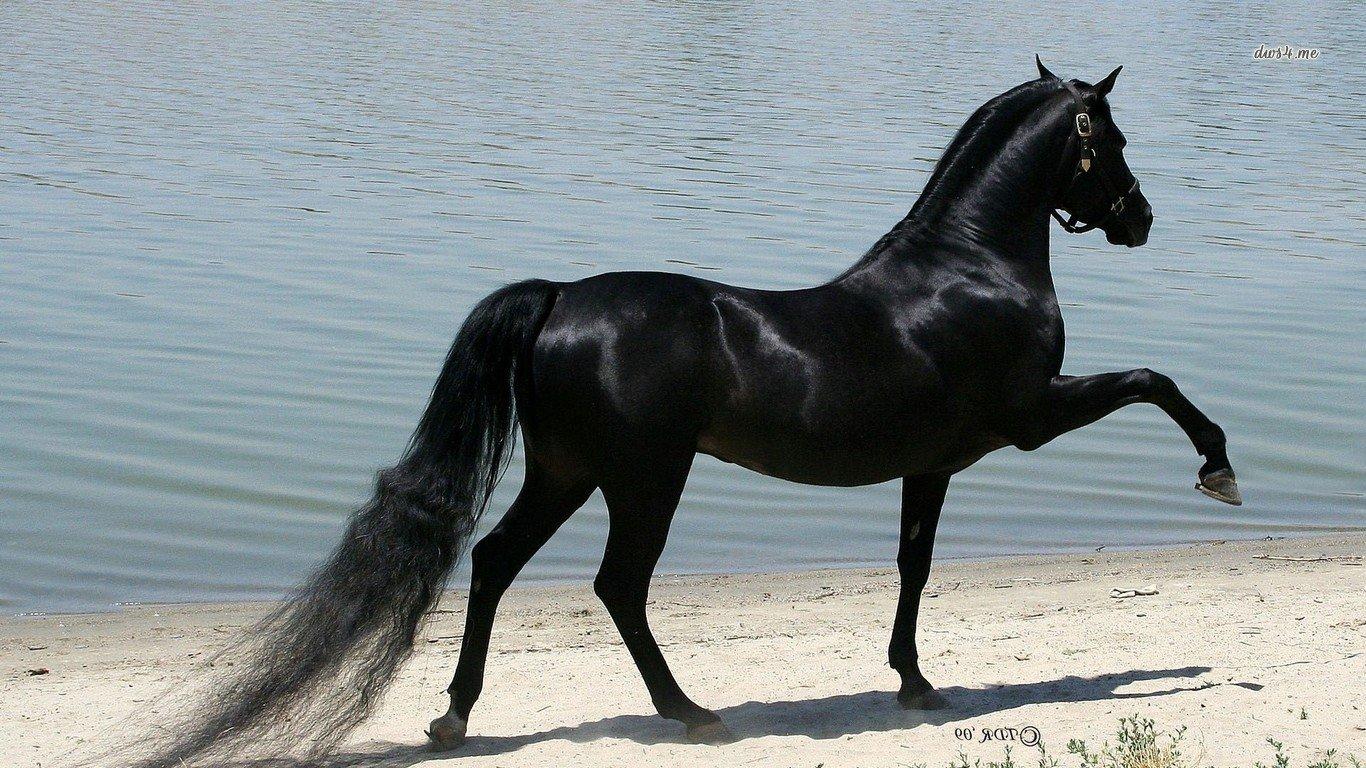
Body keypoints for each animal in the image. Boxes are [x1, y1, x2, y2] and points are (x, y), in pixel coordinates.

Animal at [127, 59, 1239, 768]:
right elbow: (1154, 380)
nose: (1140, 218)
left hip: (568, 474)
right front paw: (1218, 469)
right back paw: (688, 712)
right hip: (643, 480)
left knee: (493, 563)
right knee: (617, 586)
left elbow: (912, 567)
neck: (967, 267)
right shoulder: (1028, 416)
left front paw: (915, 683)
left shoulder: (934, 463)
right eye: (1113, 139)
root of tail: (559, 299)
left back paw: (456, 720)